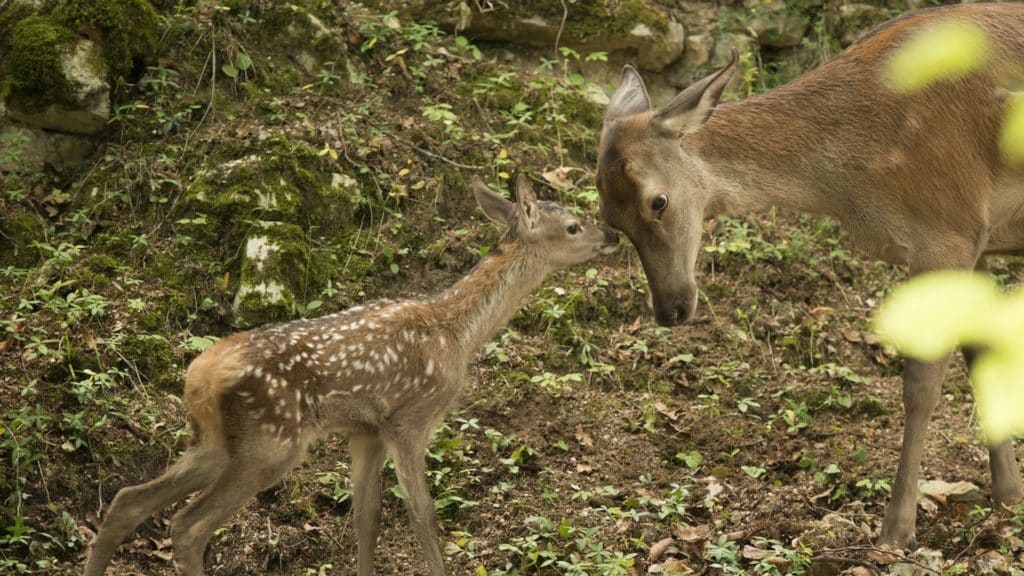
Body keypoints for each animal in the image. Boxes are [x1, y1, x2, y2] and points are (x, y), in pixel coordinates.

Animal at [81, 176, 614, 573]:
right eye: (573, 225)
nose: (610, 235)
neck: (456, 333)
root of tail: (198, 375)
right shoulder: (410, 419)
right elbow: (422, 516)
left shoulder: (366, 430)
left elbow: (366, 518)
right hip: (269, 441)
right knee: (188, 526)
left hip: (215, 441)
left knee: (128, 501)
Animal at [598, 2, 1019, 545]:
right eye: (610, 220)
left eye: (658, 201)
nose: (670, 309)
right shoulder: (977, 239)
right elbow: (982, 353)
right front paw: (1009, 495)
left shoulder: (949, 227)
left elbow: (921, 385)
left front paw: (895, 530)